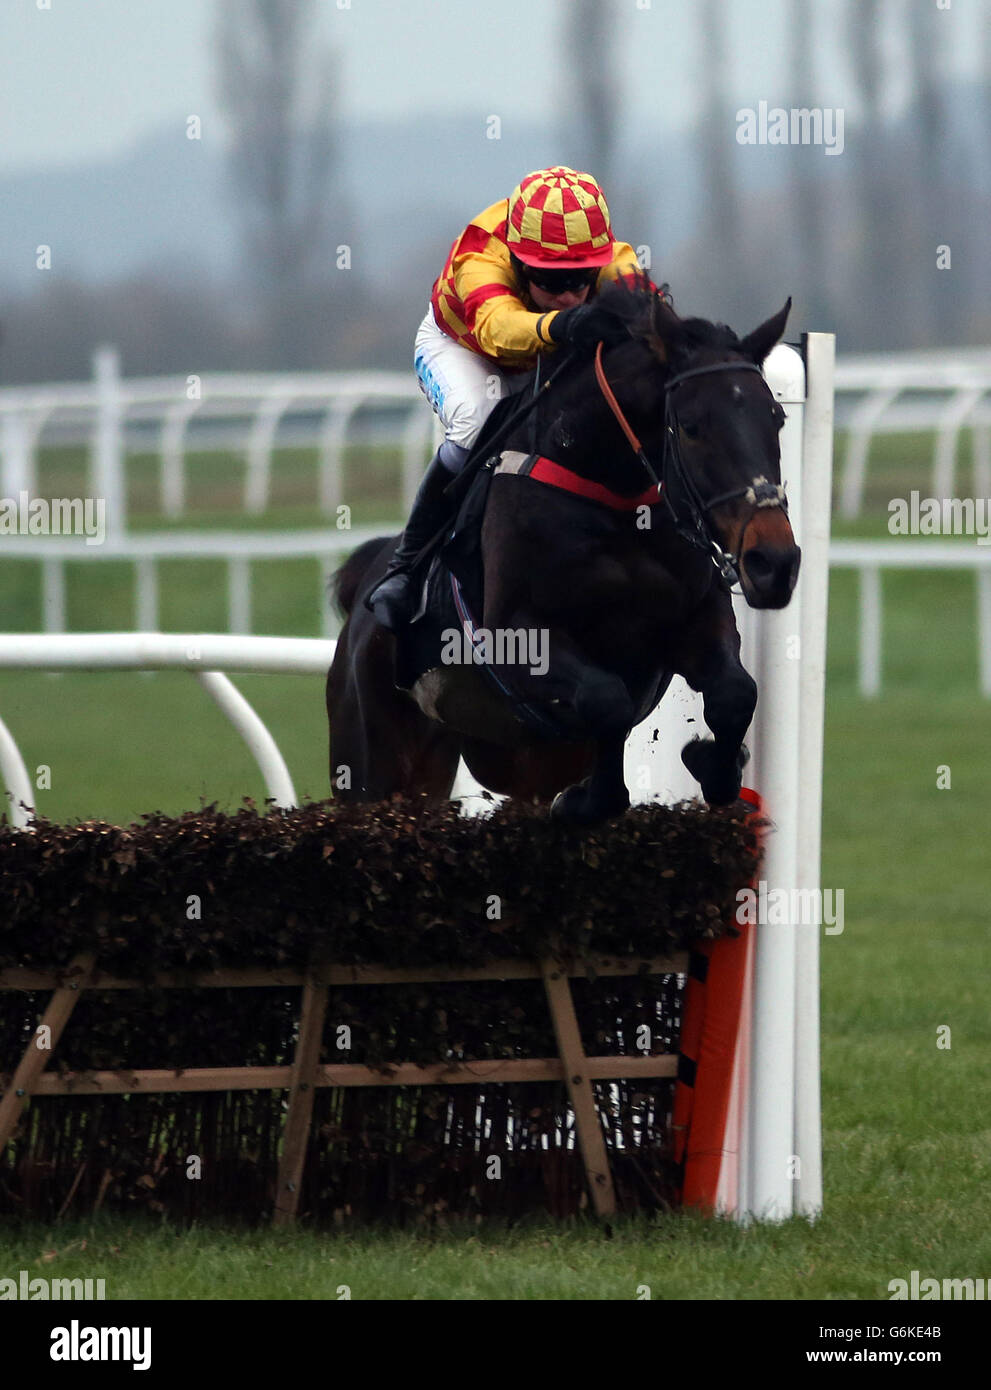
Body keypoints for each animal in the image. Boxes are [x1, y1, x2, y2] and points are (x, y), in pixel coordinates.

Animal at [328, 282, 800, 822]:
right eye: (692, 425)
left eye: (777, 417)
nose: (774, 562)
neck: (613, 498)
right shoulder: (516, 637)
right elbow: (606, 699)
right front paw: (584, 800)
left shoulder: (698, 615)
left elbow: (735, 692)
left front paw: (712, 764)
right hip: (372, 765)